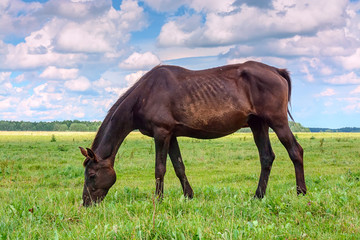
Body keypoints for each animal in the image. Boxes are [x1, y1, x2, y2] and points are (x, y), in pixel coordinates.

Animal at [79, 60, 306, 206]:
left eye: (91, 175)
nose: (86, 203)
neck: (144, 94)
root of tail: (276, 71)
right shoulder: (171, 135)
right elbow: (179, 167)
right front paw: (189, 196)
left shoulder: (161, 133)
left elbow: (160, 169)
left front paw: (158, 200)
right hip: (258, 124)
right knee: (266, 157)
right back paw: (258, 196)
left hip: (277, 122)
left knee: (295, 151)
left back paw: (301, 193)